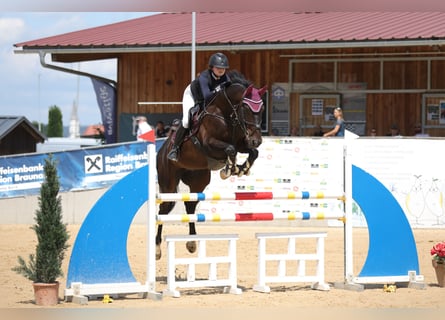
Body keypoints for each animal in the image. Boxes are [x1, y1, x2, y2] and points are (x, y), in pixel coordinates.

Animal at [156, 71, 268, 258]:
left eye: (262, 109)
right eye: (246, 109)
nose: (257, 140)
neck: (227, 114)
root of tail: (161, 150)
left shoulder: (242, 143)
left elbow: (252, 152)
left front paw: (241, 169)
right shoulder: (209, 145)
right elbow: (230, 149)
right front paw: (230, 169)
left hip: (198, 179)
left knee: (190, 206)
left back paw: (192, 243)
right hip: (168, 183)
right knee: (163, 209)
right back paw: (157, 249)